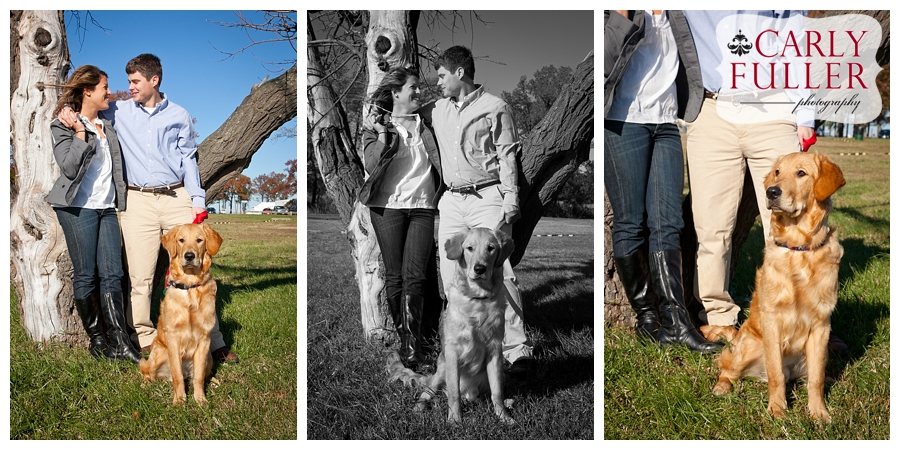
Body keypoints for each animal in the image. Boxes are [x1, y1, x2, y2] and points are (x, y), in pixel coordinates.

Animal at [142, 223, 227, 406]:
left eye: (199, 240)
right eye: (181, 240)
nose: (189, 256)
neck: (190, 287)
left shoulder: (204, 341)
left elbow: (199, 377)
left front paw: (200, 399)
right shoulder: (173, 339)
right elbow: (177, 376)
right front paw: (180, 400)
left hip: (209, 357)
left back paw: (214, 381)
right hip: (158, 355)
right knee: (147, 371)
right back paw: (145, 384)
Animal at [384, 227, 512, 424]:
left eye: (491, 248)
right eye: (469, 248)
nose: (480, 268)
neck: (477, 299)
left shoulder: (495, 350)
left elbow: (497, 391)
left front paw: (503, 416)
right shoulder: (453, 351)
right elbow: (453, 392)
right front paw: (454, 420)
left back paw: (507, 402)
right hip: (441, 371)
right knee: (427, 392)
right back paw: (419, 408)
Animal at [704, 153, 844, 424]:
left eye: (801, 173)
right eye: (777, 172)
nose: (771, 192)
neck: (799, 249)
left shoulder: (821, 325)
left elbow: (816, 378)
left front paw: (819, 412)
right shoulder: (772, 321)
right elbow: (776, 373)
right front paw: (778, 409)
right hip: (749, 347)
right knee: (728, 368)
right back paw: (721, 387)